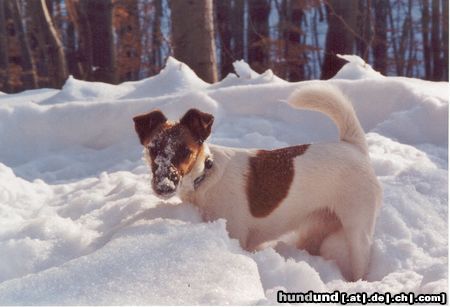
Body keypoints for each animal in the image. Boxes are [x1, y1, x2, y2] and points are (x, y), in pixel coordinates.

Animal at [132, 84, 382, 282]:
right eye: (152, 149)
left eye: (185, 151)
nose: (163, 186)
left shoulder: (236, 234)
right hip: (314, 228)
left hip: (357, 232)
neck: (205, 176)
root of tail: (353, 146)